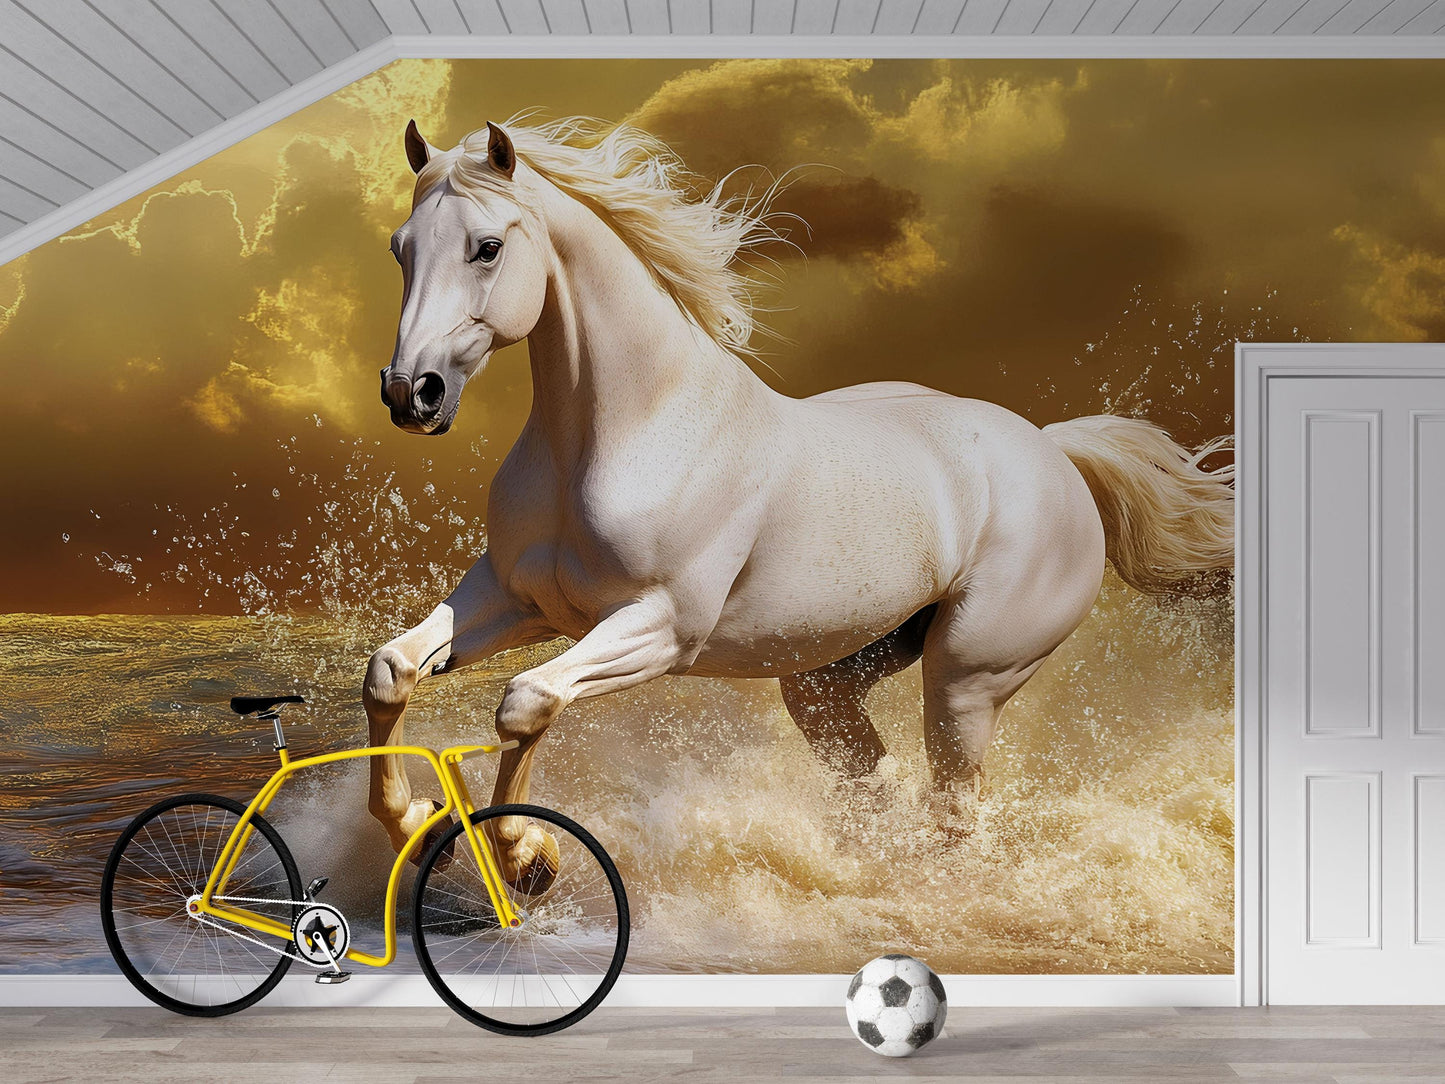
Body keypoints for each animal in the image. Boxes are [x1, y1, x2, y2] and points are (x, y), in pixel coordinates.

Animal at [364, 117, 1234, 889]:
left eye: (486, 247)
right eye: (400, 249)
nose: (412, 394)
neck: (630, 428)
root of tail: (1054, 451)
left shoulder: (659, 629)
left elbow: (526, 702)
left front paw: (525, 858)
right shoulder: (516, 599)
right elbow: (391, 671)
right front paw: (418, 826)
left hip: (968, 677)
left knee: (953, 808)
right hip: (827, 678)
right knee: (876, 783)